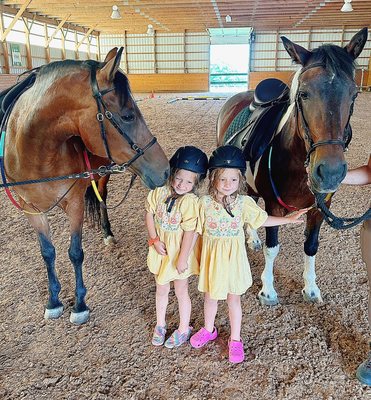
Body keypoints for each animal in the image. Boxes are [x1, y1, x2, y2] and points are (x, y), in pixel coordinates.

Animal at [1, 47, 170, 324]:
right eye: (127, 116)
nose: (165, 170)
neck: (36, 156)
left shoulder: (75, 203)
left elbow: (75, 252)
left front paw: (80, 305)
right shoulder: (31, 209)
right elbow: (47, 252)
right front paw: (54, 300)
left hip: (102, 174)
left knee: (102, 197)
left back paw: (106, 232)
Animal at [218, 28, 370, 306]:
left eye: (354, 94)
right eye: (304, 94)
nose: (330, 173)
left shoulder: (321, 208)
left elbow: (311, 246)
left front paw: (310, 288)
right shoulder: (274, 205)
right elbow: (272, 248)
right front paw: (268, 290)